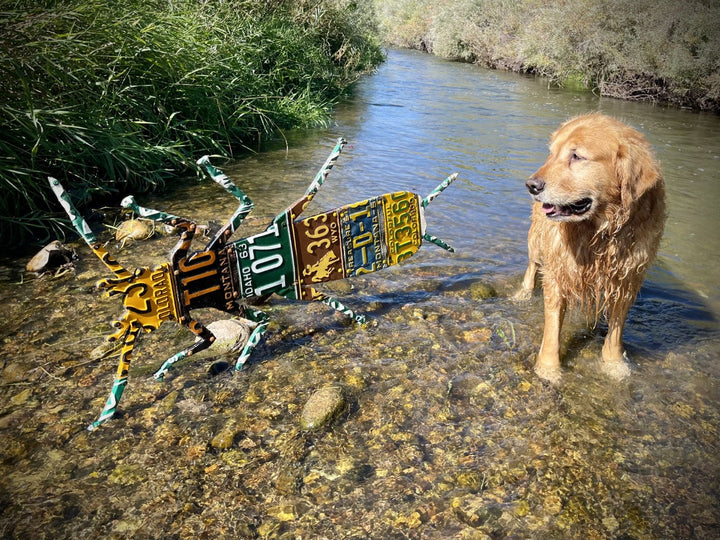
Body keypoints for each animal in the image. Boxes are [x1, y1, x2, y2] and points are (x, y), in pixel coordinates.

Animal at [516, 113, 664, 384]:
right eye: (553, 153)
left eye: (577, 156)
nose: (531, 185)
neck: (600, 230)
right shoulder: (558, 272)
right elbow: (552, 329)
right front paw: (548, 369)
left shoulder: (627, 279)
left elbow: (616, 331)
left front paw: (614, 365)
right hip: (537, 243)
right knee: (532, 266)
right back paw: (522, 293)